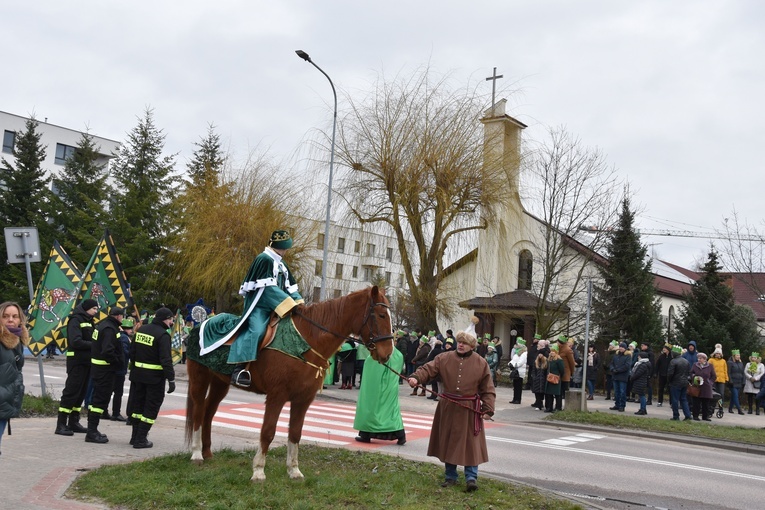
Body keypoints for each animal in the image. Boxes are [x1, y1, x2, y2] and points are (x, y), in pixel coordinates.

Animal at [185, 286, 394, 482]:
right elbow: (268, 432)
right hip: (199, 379)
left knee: (208, 412)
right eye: (381, 315)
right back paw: (196, 454)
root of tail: (201, 324)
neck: (306, 341)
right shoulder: (276, 396)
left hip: (220, 383)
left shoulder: (303, 399)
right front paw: (258, 471)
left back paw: (207, 452)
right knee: (198, 412)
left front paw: (294, 471)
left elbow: (295, 433)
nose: (388, 353)